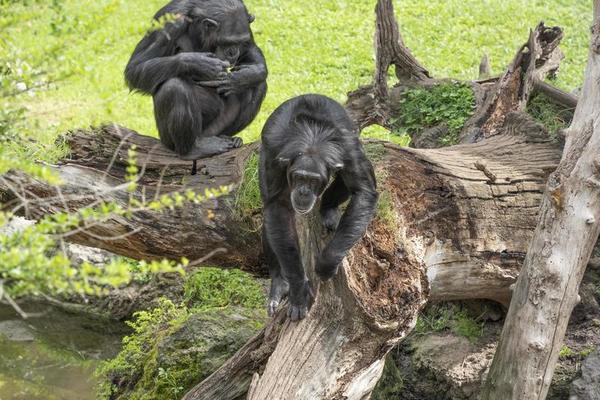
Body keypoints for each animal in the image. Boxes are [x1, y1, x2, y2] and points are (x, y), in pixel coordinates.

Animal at [126, 0, 268, 159]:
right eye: (226, 42)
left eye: (240, 41)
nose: (233, 52)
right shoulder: (169, 22)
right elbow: (136, 67)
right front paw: (200, 63)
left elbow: (250, 49)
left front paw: (244, 77)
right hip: (168, 139)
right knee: (174, 87)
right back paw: (193, 149)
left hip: (214, 129)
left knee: (258, 86)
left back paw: (229, 137)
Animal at [260, 93, 378, 318]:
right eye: (299, 177)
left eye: (313, 180)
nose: (304, 191)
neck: (312, 138)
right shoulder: (273, 151)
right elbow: (277, 206)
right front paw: (298, 291)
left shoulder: (349, 150)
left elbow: (363, 191)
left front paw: (326, 264)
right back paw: (279, 284)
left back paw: (328, 209)